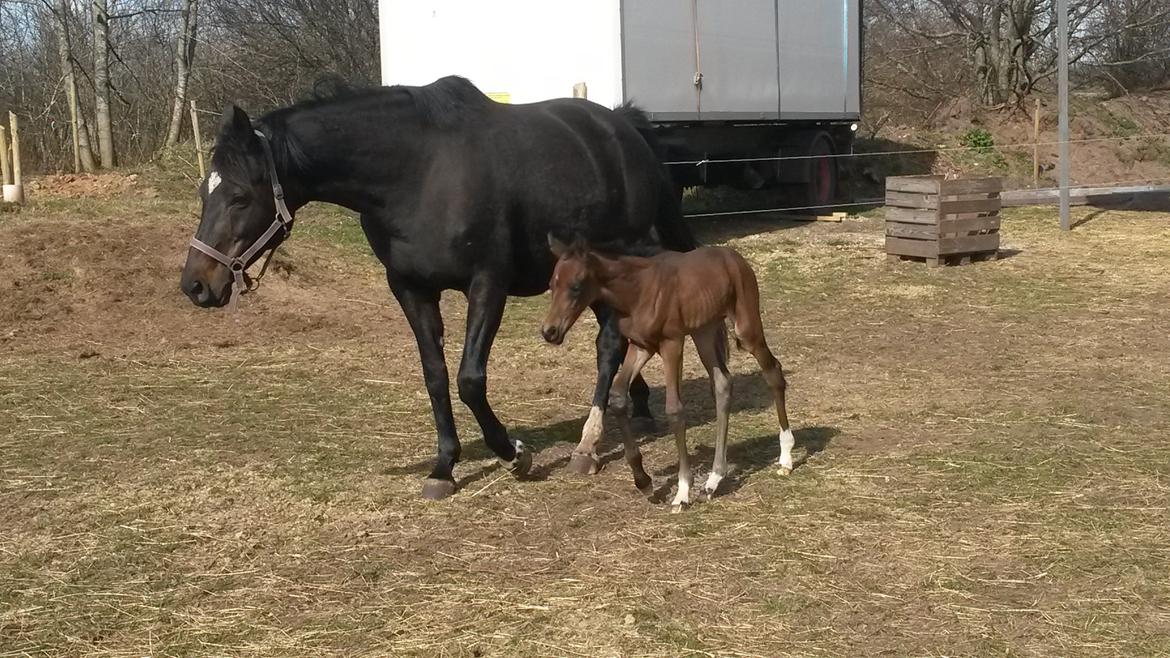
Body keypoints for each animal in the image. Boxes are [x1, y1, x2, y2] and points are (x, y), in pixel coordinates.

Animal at [180, 76, 692, 496]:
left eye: (240, 196)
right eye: (204, 191)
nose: (196, 285)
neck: (417, 173)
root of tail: (623, 127)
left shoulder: (487, 283)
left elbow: (469, 380)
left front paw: (513, 455)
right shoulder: (410, 289)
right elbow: (436, 377)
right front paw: (444, 466)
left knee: (608, 346)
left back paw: (588, 445)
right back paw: (634, 405)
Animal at [540, 236, 795, 512]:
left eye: (575, 287)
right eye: (551, 285)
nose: (549, 331)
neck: (636, 292)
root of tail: (734, 257)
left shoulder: (671, 343)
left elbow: (674, 410)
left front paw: (682, 492)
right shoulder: (641, 346)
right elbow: (618, 396)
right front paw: (644, 482)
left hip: (745, 328)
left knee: (773, 372)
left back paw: (786, 457)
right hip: (703, 331)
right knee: (723, 384)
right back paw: (713, 481)